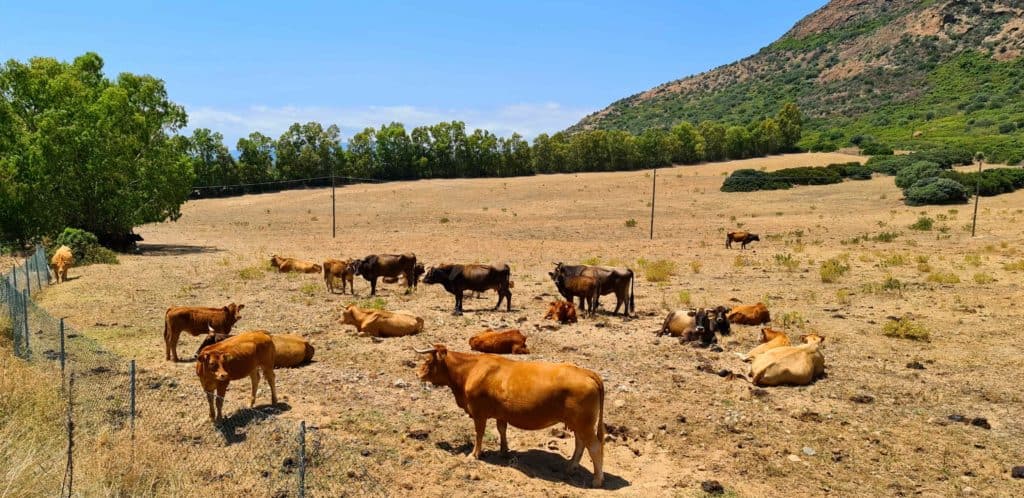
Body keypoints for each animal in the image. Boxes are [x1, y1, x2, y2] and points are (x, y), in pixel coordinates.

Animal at [415, 344, 606, 487]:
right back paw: (571, 467)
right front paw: (504, 451)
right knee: (580, 443)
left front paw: (474, 454)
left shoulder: (478, 413)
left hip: (584, 424)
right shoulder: (501, 413)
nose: (417, 373)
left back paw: (597, 480)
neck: (471, 370)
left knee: (594, 447)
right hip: (577, 423)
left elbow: (479, 434)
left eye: (428, 360)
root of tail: (586, 372)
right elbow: (502, 429)